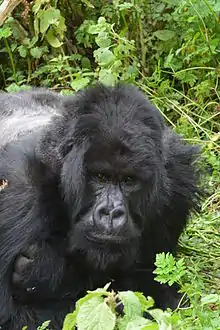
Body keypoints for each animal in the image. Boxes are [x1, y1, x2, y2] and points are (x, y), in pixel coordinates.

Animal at [0, 84, 200, 328]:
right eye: (101, 177)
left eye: (128, 180)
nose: (112, 213)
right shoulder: (21, 184)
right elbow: (12, 313)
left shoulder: (177, 182)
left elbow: (156, 287)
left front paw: (46, 271)